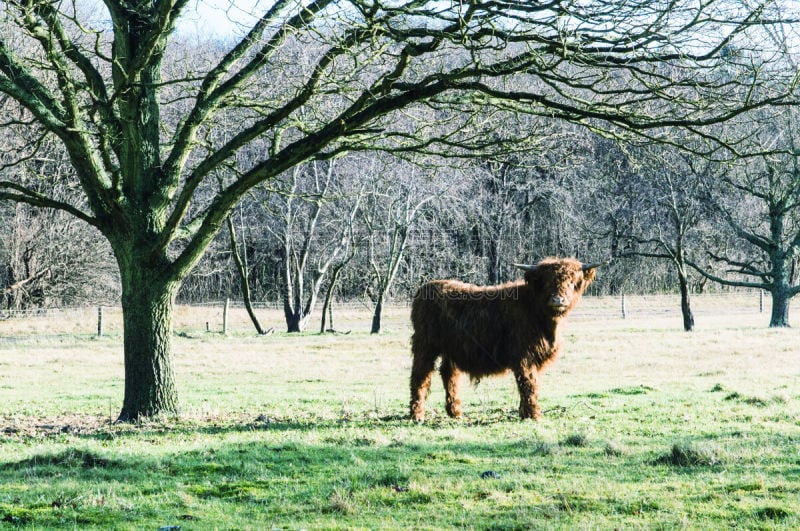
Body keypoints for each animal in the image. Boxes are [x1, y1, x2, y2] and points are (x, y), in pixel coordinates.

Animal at [410, 258, 596, 424]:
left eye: (571, 282)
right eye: (546, 282)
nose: (558, 300)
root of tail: (424, 289)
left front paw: (524, 413)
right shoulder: (524, 356)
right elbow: (528, 384)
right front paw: (533, 414)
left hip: (451, 348)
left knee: (449, 375)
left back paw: (455, 412)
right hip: (425, 345)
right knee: (420, 376)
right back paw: (417, 415)